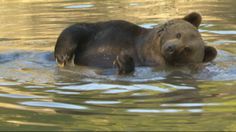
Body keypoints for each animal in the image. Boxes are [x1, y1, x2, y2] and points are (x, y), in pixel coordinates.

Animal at [54, 12, 217, 74]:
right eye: (179, 34)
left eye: (187, 49)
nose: (170, 48)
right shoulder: (111, 31)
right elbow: (80, 29)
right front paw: (62, 56)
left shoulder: (145, 63)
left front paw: (123, 60)